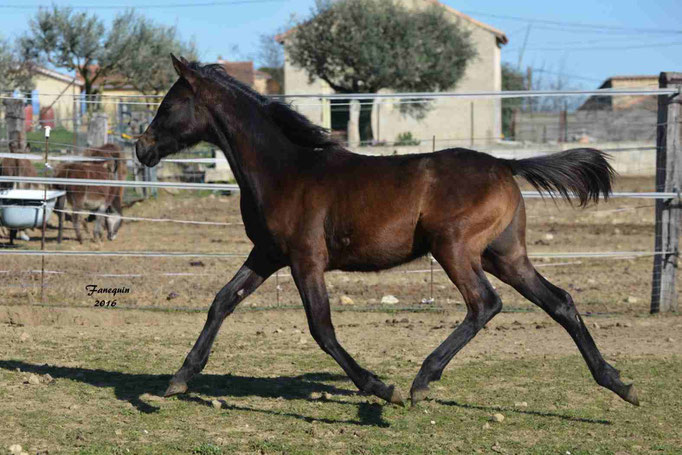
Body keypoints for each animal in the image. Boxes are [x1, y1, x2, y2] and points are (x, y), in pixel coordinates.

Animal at [134, 56, 636, 410]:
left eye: (169, 103)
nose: (142, 148)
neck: (284, 170)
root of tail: (505, 164)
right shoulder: (267, 254)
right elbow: (222, 301)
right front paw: (178, 380)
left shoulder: (305, 259)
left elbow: (322, 327)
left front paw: (379, 386)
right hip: (505, 254)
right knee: (559, 301)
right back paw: (618, 383)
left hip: (454, 248)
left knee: (485, 304)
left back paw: (421, 380)